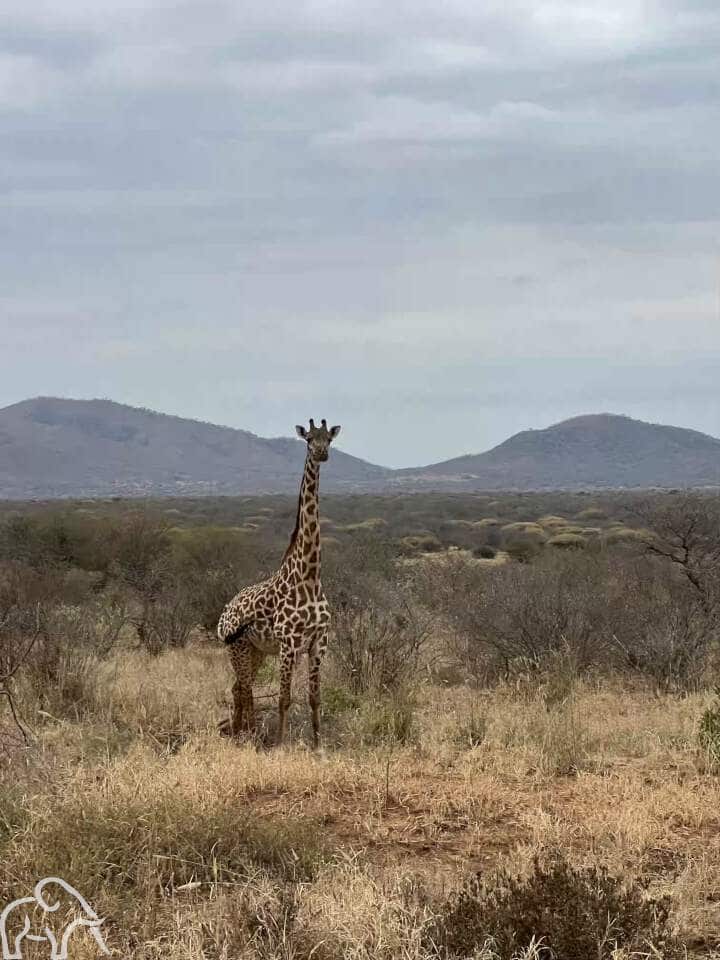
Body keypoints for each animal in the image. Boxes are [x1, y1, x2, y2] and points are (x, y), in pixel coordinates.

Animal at [217, 416, 340, 748]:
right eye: (309, 439)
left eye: (329, 439)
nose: (322, 454)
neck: (310, 575)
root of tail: (224, 612)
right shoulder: (288, 644)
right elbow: (284, 699)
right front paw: (281, 744)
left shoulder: (318, 642)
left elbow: (315, 698)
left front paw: (319, 745)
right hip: (238, 649)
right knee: (244, 689)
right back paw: (247, 734)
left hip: (256, 651)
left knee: (238, 688)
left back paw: (243, 731)